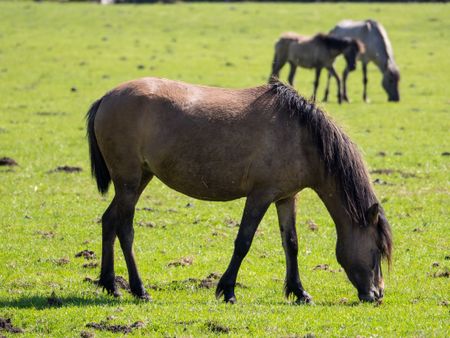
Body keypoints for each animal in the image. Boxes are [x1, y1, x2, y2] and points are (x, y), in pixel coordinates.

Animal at [86, 76, 392, 304]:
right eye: (377, 250)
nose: (377, 294)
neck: (301, 136)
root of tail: (106, 98)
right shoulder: (260, 196)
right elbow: (243, 242)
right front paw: (227, 290)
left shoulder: (286, 198)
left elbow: (291, 243)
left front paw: (299, 291)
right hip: (128, 181)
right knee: (125, 229)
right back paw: (139, 290)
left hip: (140, 179)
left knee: (109, 220)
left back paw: (111, 285)